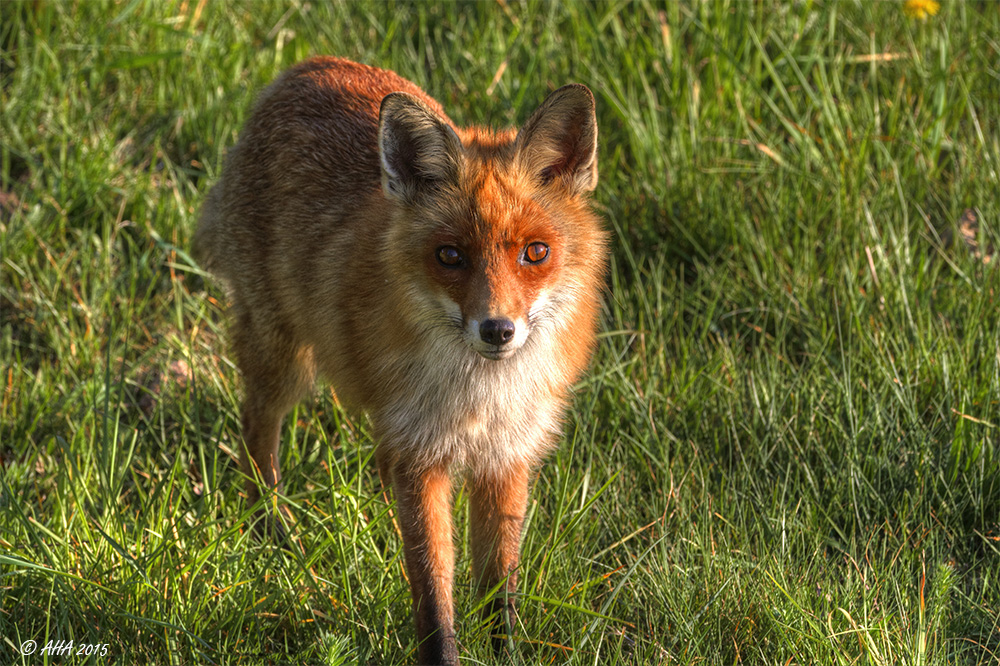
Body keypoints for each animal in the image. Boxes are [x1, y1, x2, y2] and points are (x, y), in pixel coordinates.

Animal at [192, 58, 604, 664]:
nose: (498, 330)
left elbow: (498, 589)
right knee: (256, 432)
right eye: (449, 256)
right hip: (283, 358)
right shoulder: (421, 460)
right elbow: (433, 591)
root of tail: (309, 66)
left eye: (536, 253)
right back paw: (270, 529)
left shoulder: (504, 460)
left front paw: (505, 652)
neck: (478, 400)